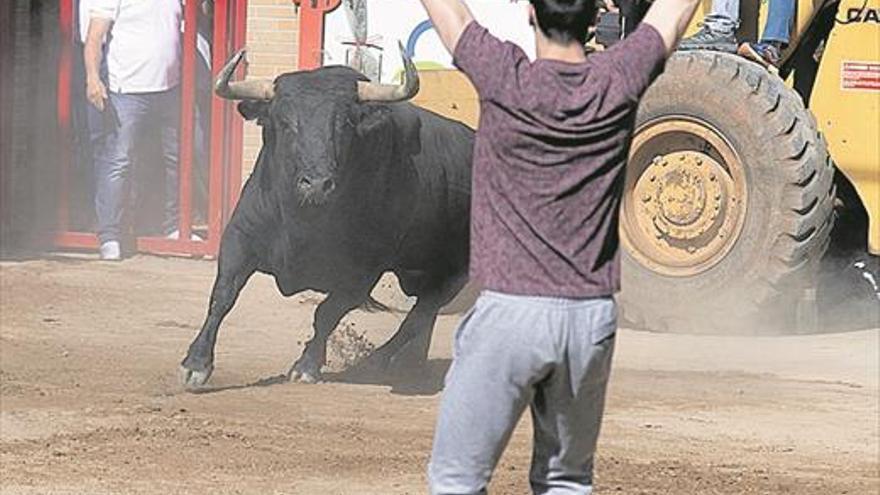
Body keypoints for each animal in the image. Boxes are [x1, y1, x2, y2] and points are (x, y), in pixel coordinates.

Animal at [178, 51, 474, 392]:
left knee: (421, 313)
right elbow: (223, 296)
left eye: (344, 124)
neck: (305, 220)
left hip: (455, 271)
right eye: (284, 122)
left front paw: (307, 365)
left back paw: (375, 362)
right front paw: (196, 364)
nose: (318, 185)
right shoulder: (240, 238)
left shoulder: (361, 273)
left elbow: (327, 313)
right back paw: (410, 365)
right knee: (424, 314)